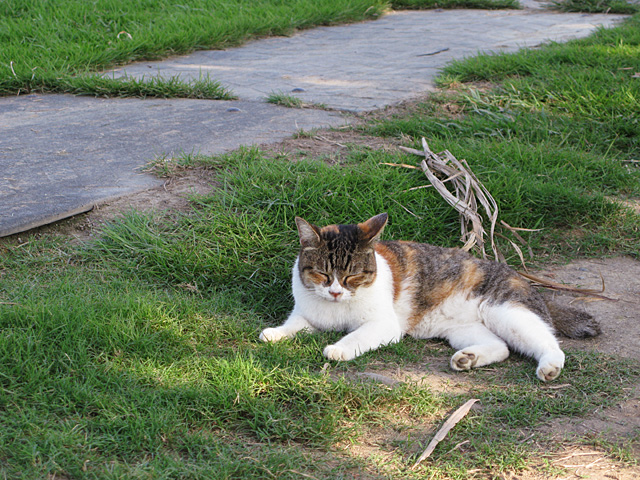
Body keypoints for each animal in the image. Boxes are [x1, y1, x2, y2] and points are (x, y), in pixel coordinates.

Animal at [258, 214, 600, 382]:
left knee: (549, 342)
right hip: (463, 330)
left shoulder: (384, 326)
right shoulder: (307, 315)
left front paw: (339, 349)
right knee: (501, 348)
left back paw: (550, 367)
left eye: (352, 276)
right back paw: (468, 358)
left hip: (507, 312)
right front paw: (275, 333)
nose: (335, 291)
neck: (336, 310)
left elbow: (357, 336)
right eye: (322, 274)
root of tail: (520, 276)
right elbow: (294, 325)